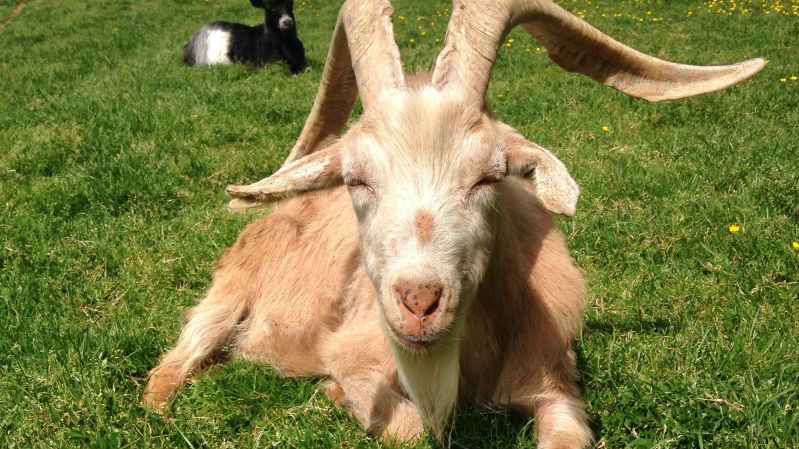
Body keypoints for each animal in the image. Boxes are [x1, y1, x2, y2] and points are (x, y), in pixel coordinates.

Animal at [145, 0, 764, 445]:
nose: (419, 302)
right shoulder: (356, 355)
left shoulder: (555, 379)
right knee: (173, 362)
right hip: (225, 297)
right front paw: (334, 396)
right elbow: (410, 426)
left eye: (489, 177)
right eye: (356, 180)